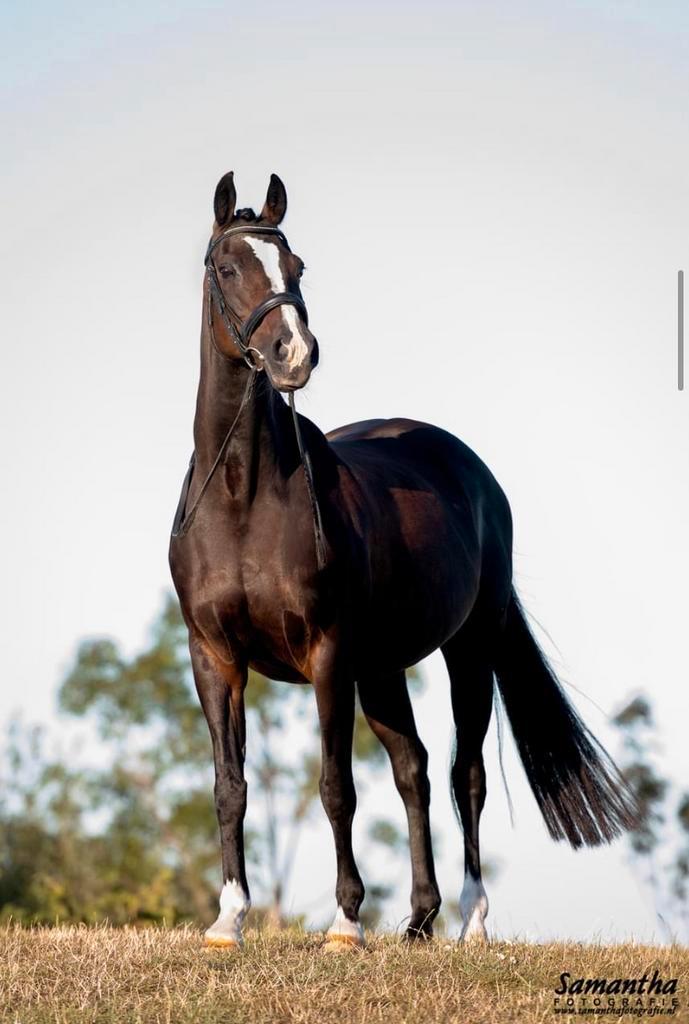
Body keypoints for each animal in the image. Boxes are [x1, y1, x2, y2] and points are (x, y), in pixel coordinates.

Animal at [169, 172, 637, 950]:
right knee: (412, 767)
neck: (241, 497)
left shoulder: (326, 654)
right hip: (382, 666)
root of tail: (470, 468)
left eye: (296, 268)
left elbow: (336, 787)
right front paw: (228, 919)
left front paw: (343, 923)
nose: (294, 353)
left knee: (464, 775)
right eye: (229, 268)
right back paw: (419, 917)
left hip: (468, 649)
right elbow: (229, 785)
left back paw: (471, 920)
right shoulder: (214, 657)